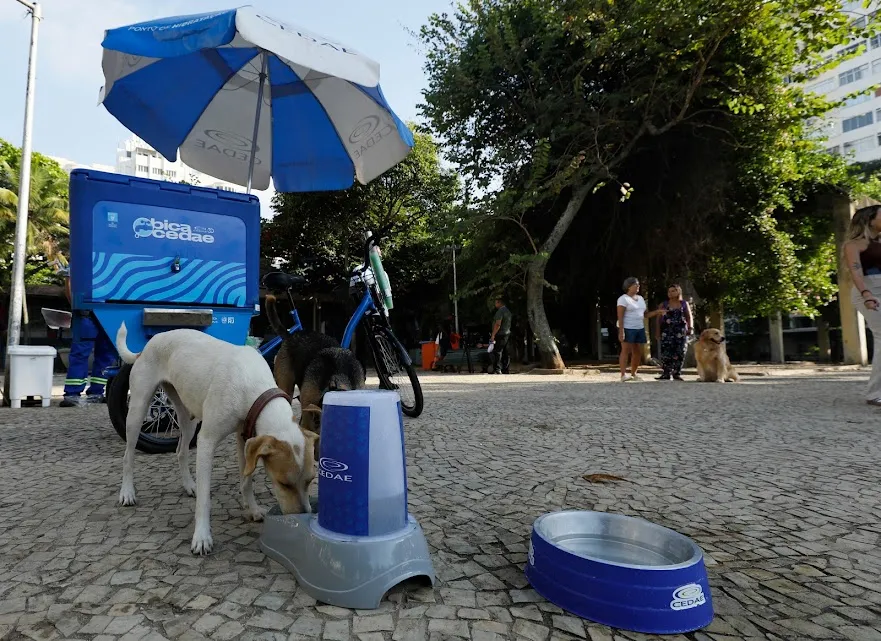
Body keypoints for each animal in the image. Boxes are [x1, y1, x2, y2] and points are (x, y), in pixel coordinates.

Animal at [115, 322, 318, 552]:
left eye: (310, 480)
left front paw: (252, 509)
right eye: (283, 484)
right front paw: (202, 536)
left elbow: (246, 480)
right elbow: (205, 498)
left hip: (188, 417)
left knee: (181, 451)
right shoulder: (207, 441)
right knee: (128, 455)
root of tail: (149, 343)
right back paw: (127, 493)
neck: (252, 384)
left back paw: (189, 485)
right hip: (138, 409)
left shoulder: (245, 438)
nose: (301, 518)